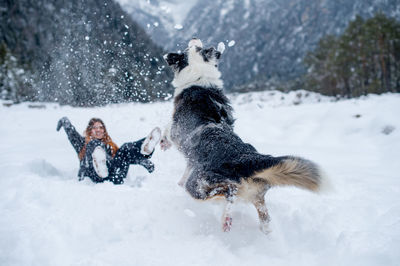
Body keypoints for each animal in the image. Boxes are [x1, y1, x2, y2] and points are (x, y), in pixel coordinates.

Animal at [162, 38, 324, 234]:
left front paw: (162, 143)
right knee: (264, 218)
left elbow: (165, 128)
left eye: (192, 48)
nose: (194, 38)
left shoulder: (177, 130)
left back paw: (226, 219)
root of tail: (246, 158)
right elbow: (186, 165)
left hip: (198, 184)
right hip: (257, 195)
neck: (199, 79)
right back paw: (265, 232)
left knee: (228, 192)